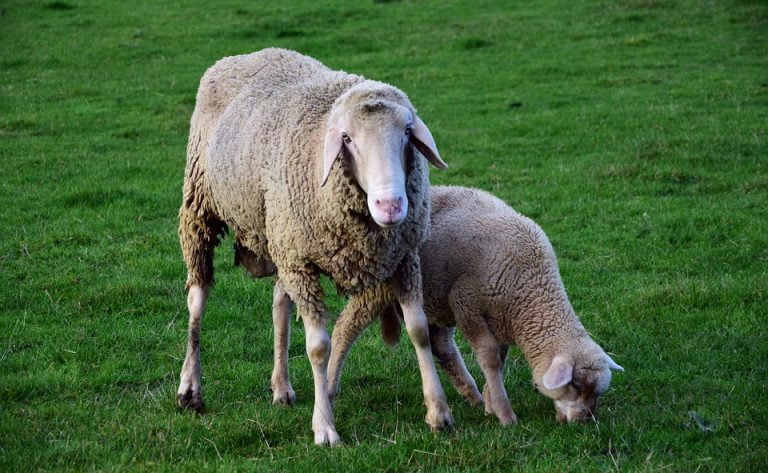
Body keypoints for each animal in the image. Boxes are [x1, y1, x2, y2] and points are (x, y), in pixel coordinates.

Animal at [176, 48, 452, 445]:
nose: (390, 206)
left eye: (406, 132)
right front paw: (325, 426)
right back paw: (190, 389)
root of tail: (243, 55)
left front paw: (438, 412)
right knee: (197, 300)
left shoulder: (404, 256)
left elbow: (419, 329)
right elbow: (319, 347)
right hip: (202, 208)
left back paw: (281, 387)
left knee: (279, 305)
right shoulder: (303, 261)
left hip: (280, 238)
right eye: (347, 138)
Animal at [326, 185, 624, 425]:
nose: (585, 421)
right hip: (383, 288)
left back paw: (472, 395)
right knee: (345, 327)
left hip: (436, 296)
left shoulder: (498, 317)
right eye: (576, 385)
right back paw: (330, 386)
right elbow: (490, 357)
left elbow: (499, 359)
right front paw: (504, 414)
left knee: (442, 347)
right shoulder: (466, 304)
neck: (531, 289)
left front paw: (491, 403)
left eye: (597, 391)